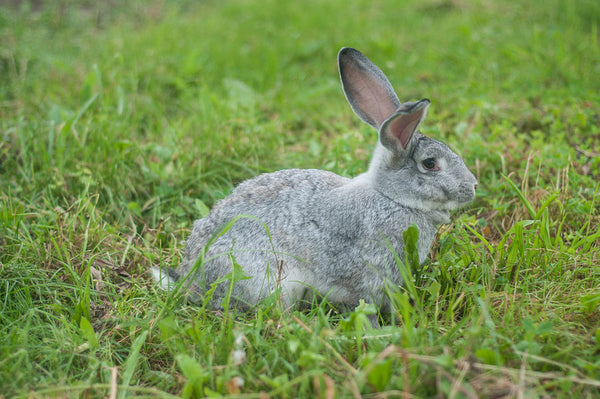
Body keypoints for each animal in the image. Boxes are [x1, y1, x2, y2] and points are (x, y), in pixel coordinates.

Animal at [154, 47, 478, 328]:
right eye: (430, 164)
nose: (473, 186)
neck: (391, 197)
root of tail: (191, 278)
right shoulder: (369, 277)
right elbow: (367, 305)